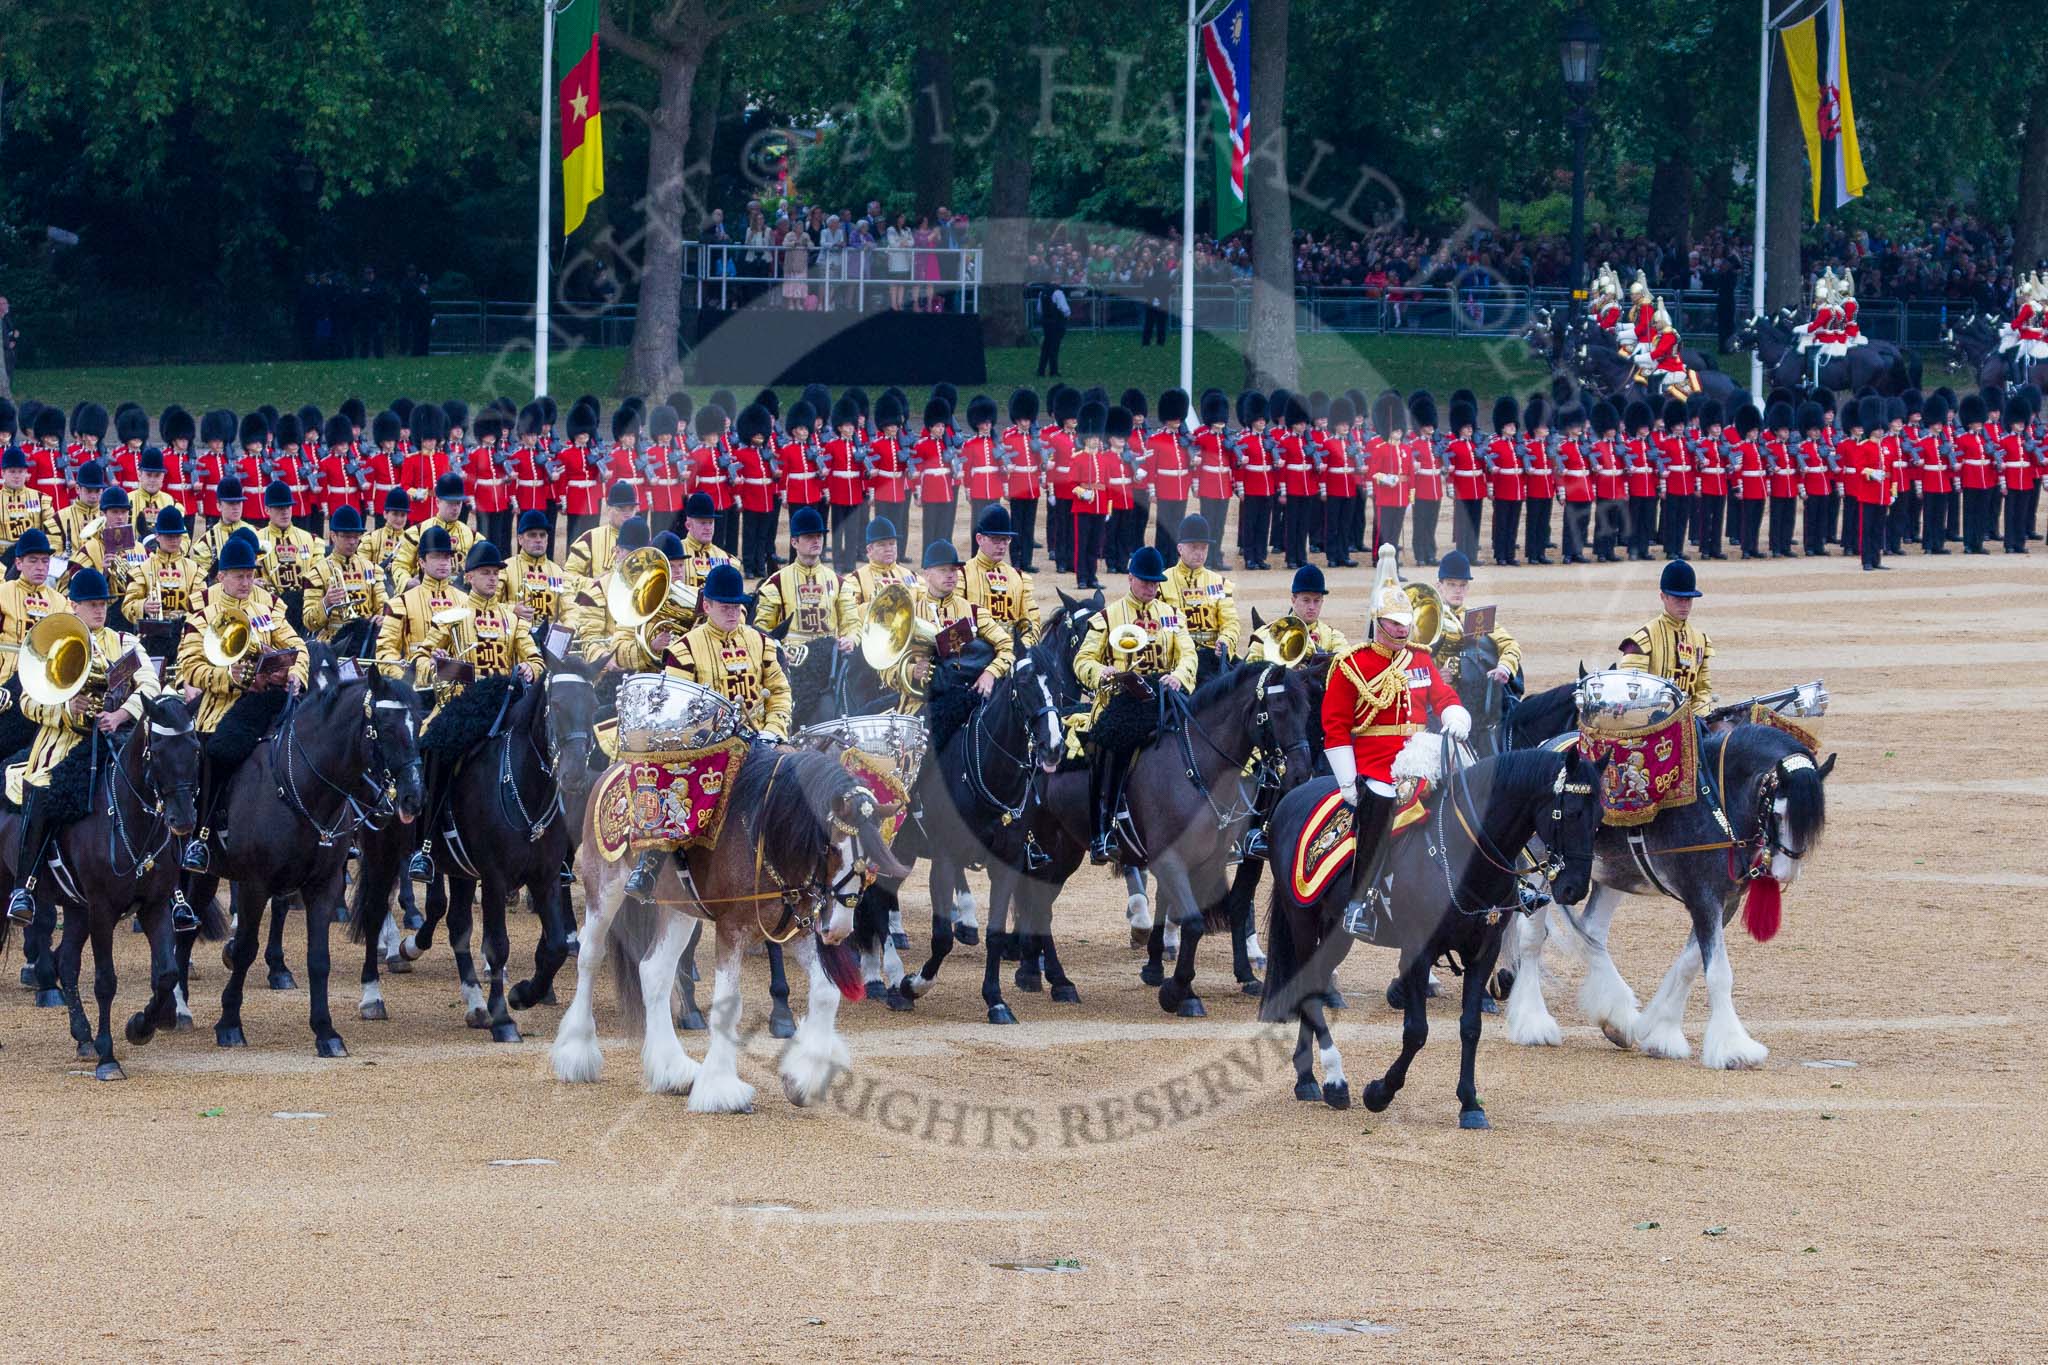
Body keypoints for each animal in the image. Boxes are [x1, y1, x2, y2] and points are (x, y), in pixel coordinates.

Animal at [178, 671, 425, 1055]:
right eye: (384, 726)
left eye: (419, 722)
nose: (413, 797)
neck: (304, 788)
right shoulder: (254, 885)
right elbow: (246, 949)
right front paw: (230, 1023)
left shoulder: (322, 885)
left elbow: (318, 959)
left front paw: (326, 1031)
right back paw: (176, 1004)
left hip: (207, 875)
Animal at [1253, 749, 1605, 1129]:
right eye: (1572, 812)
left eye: (1600, 818)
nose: (1574, 888)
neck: (1465, 855)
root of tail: (1292, 797)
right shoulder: (1417, 952)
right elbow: (1416, 1031)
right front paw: (1379, 1093)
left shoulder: (1484, 951)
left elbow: (1470, 1027)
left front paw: (1470, 1104)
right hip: (1302, 920)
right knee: (1308, 992)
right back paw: (1335, 1081)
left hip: (1336, 933)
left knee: (1313, 985)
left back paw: (1307, 1079)